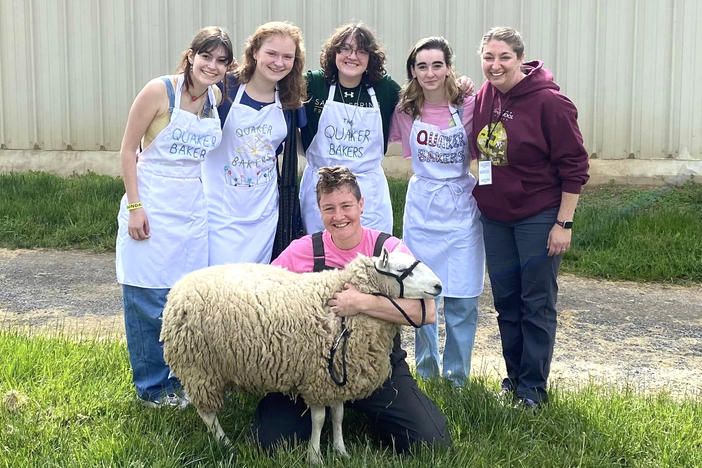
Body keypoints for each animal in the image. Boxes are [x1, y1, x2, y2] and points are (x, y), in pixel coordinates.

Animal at [162, 249, 442, 464]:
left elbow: (338, 414)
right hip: (198, 366)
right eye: (404, 269)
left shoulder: (337, 376)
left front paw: (341, 451)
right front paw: (315, 456)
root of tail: (178, 288)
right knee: (207, 414)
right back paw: (225, 444)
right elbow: (319, 419)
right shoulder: (317, 375)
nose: (439, 285)